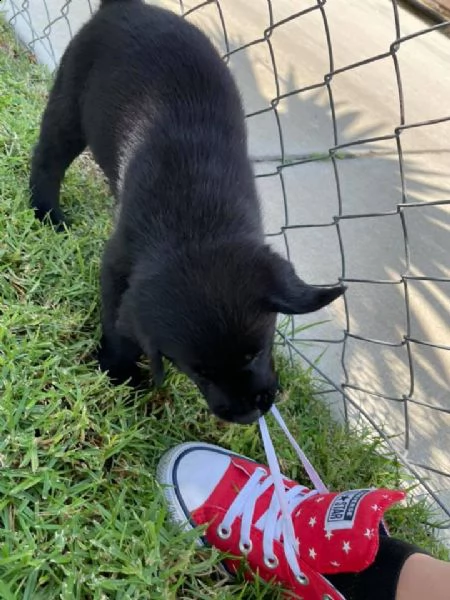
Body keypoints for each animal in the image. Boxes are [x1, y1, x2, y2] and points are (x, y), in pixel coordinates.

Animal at [29, 0, 344, 424]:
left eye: (256, 352)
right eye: (199, 371)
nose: (248, 416)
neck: (197, 222)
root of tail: (125, 7)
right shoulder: (120, 260)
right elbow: (118, 323)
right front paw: (120, 371)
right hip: (69, 100)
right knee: (49, 157)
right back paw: (45, 212)